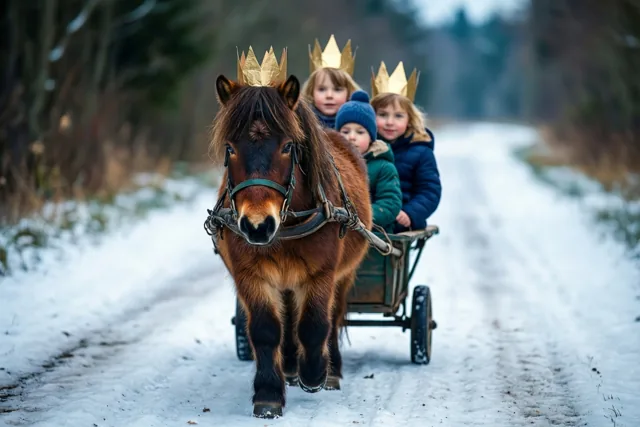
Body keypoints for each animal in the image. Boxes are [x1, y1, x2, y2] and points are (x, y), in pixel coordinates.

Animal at [208, 73, 372, 418]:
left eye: (287, 147)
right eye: (230, 148)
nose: (258, 225)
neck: (284, 227)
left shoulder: (321, 274)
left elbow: (314, 325)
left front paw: (314, 374)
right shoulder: (251, 276)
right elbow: (266, 329)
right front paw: (269, 393)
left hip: (343, 275)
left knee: (333, 317)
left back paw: (329, 371)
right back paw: (289, 368)